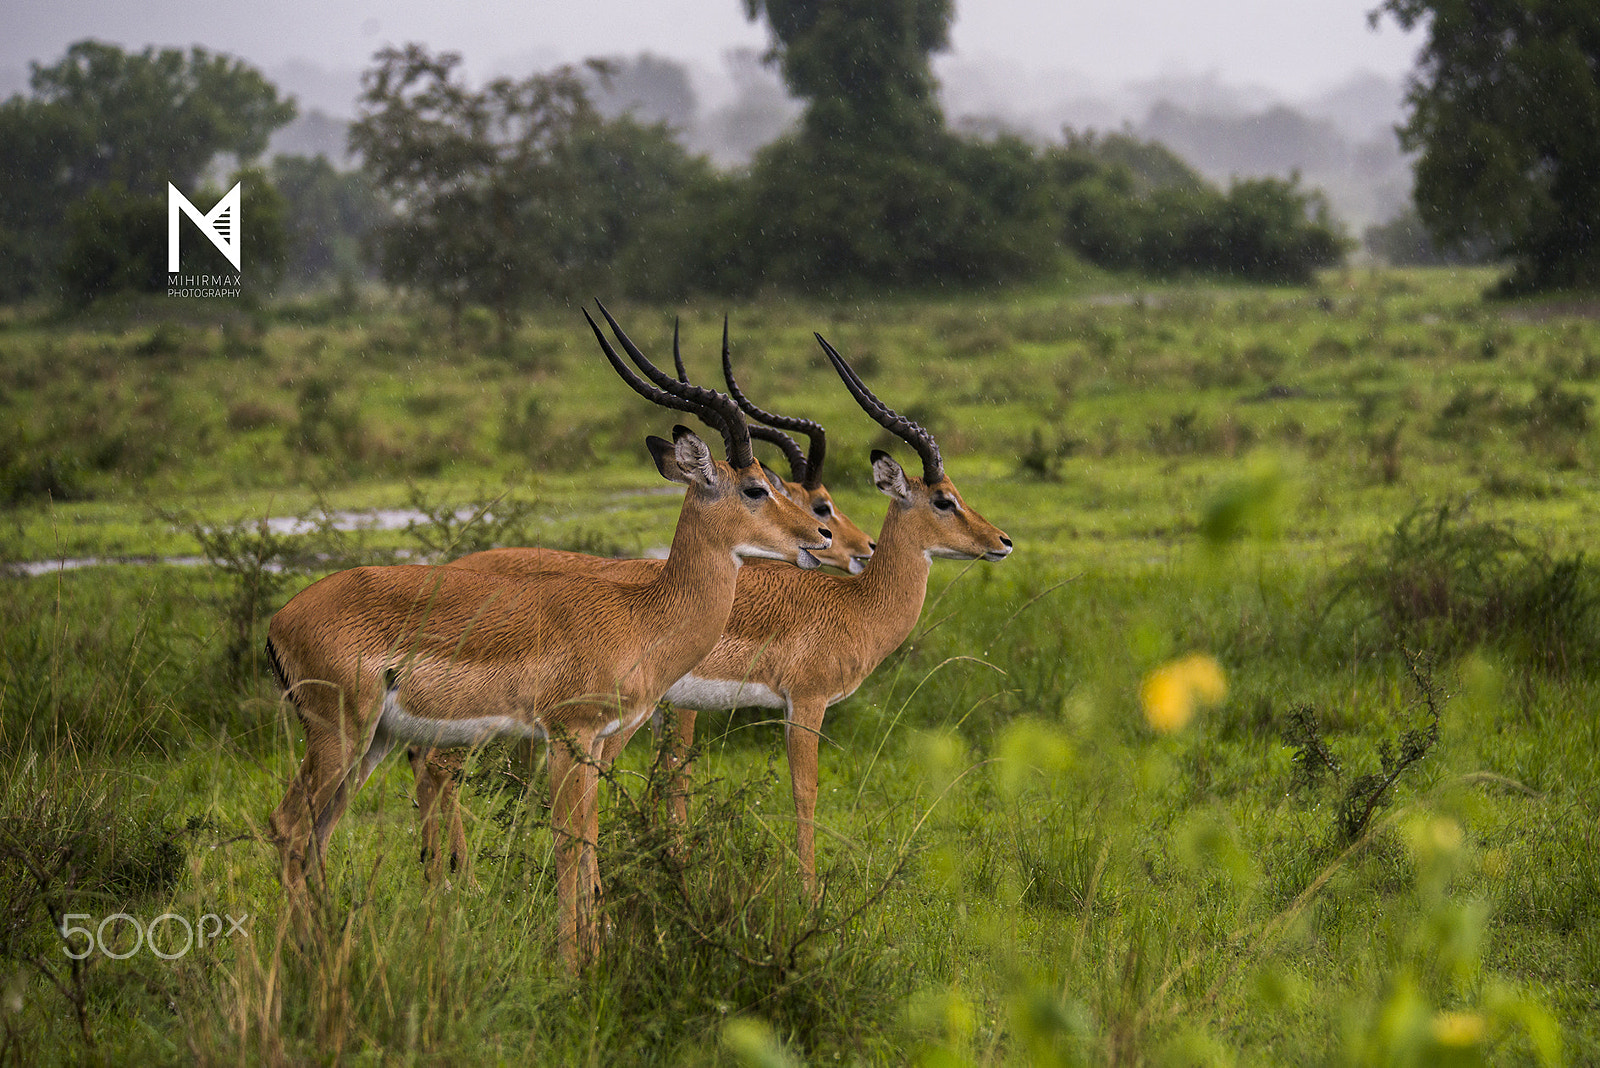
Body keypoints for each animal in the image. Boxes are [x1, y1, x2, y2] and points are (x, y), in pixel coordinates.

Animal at [263, 303, 832, 966]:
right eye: (755, 487)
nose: (819, 537)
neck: (642, 616)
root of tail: (280, 619)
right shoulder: (569, 736)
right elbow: (568, 843)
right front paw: (572, 964)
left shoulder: (594, 743)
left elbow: (587, 840)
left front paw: (590, 954)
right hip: (340, 734)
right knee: (289, 829)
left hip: (372, 742)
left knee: (317, 837)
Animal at [434, 332, 1012, 888]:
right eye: (944, 499)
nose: (1003, 541)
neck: (852, 606)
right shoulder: (804, 702)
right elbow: (803, 791)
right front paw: (807, 893)